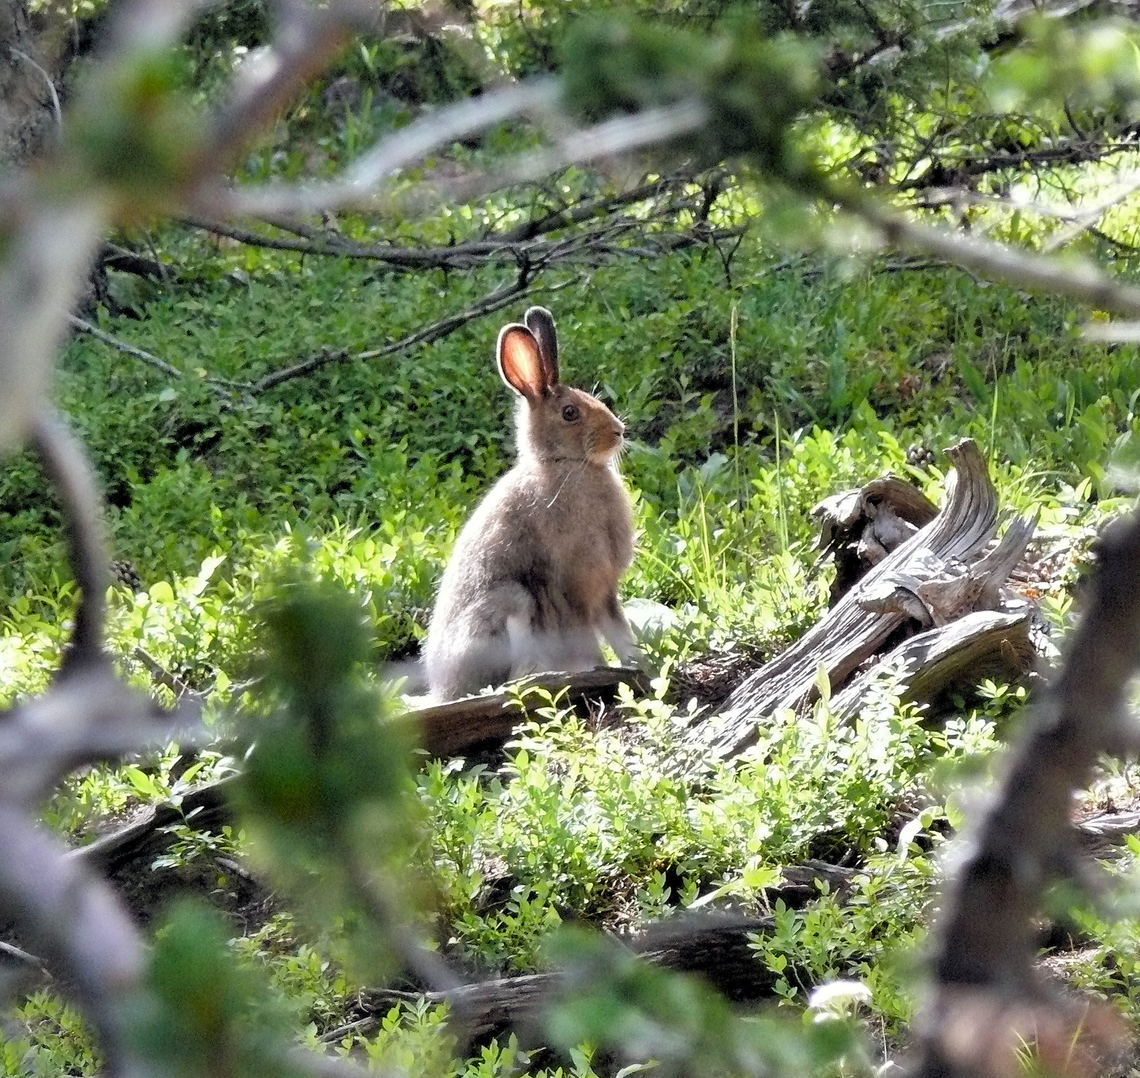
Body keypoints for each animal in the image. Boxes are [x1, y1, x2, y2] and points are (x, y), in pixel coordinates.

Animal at [424, 306, 640, 701]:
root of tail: (443, 690)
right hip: (512, 601)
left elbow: (620, 632)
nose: (618, 431)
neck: (564, 464)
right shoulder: (573, 587)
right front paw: (600, 668)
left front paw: (641, 665)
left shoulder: (605, 591)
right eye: (570, 413)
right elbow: (589, 639)